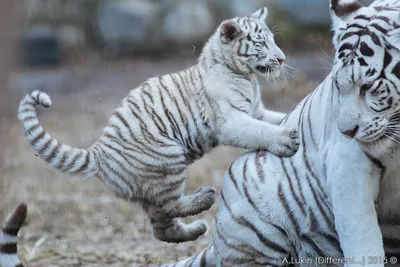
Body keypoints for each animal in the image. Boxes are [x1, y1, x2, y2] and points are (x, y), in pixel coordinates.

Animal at [17, 7, 298, 245]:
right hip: (169, 159)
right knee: (170, 207)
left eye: (273, 40)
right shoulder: (231, 120)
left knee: (161, 226)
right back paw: (204, 197)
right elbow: (260, 130)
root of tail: (99, 152)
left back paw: (195, 229)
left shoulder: (257, 111)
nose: (283, 59)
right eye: (261, 44)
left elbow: (276, 118)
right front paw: (285, 140)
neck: (245, 77)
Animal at [162, 0, 400, 266]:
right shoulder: (349, 165)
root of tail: (216, 243)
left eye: (368, 86)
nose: (347, 132)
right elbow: (363, 240)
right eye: (338, 85)